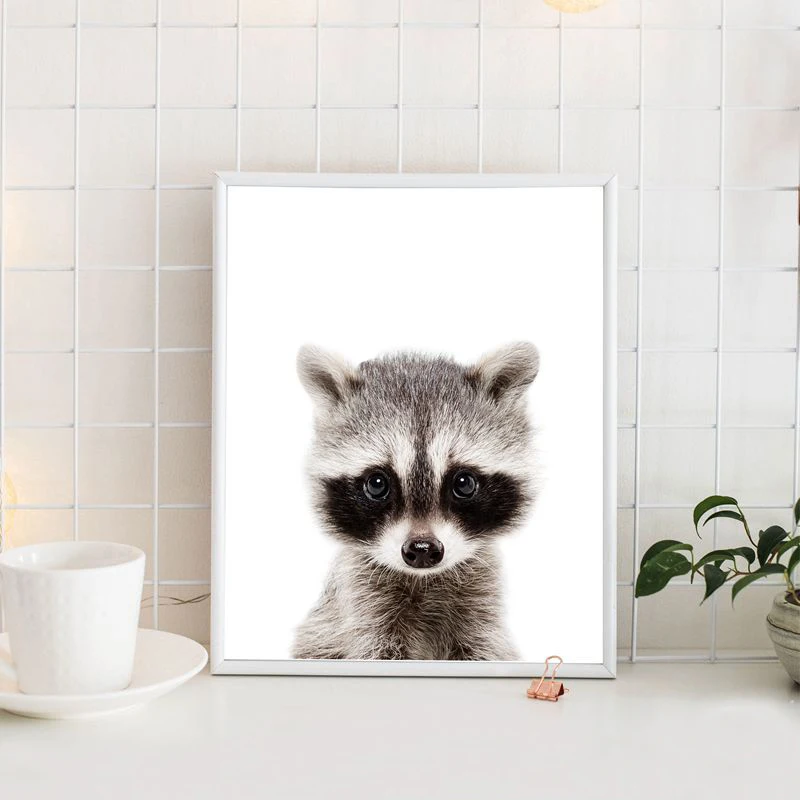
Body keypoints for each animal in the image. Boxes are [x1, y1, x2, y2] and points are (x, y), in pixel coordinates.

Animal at [290, 342, 539, 661]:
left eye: (464, 483)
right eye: (377, 484)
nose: (422, 549)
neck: (424, 579)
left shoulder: (480, 605)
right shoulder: (361, 602)